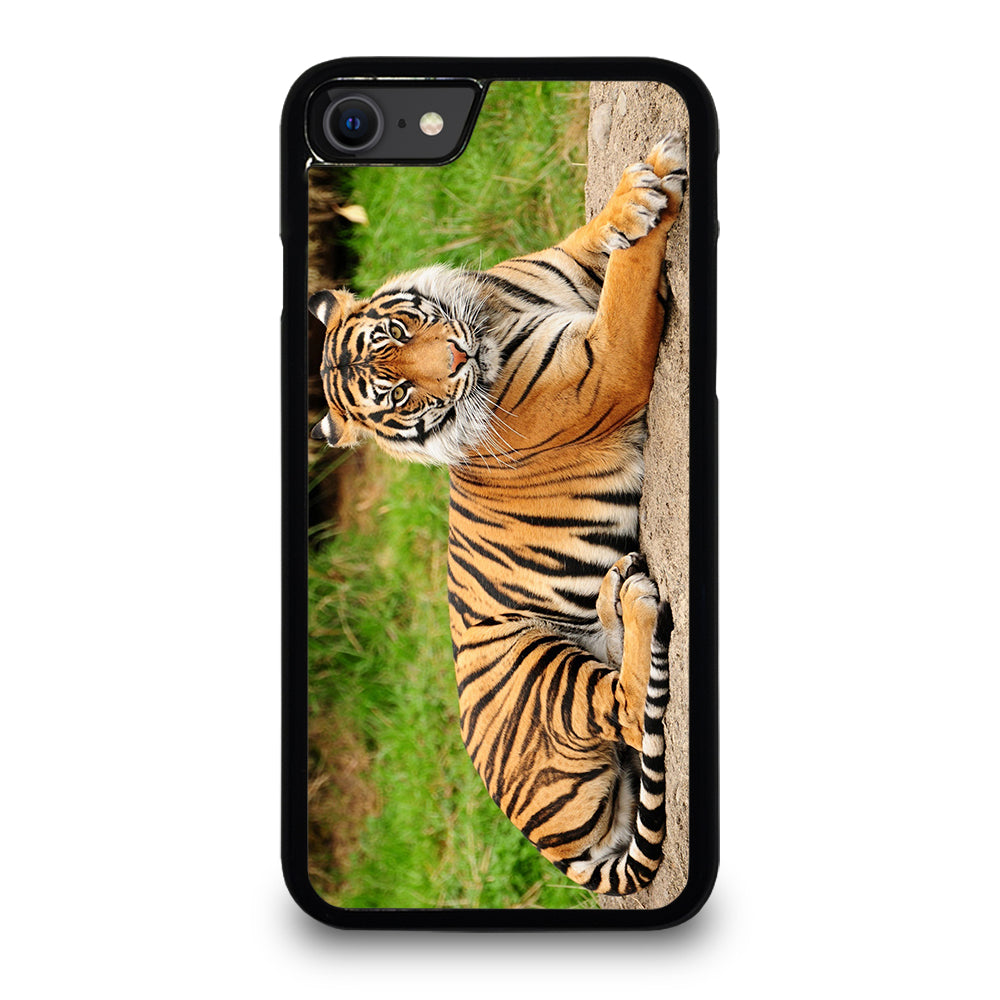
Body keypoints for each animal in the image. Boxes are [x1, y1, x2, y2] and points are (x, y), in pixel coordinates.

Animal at [309, 134, 686, 895]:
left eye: (398, 329)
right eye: (395, 392)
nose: (457, 358)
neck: (492, 314)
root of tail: (556, 850)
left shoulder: (563, 270)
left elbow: (598, 239)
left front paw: (637, 193)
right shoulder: (606, 364)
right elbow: (629, 280)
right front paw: (652, 195)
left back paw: (615, 592)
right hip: (537, 667)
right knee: (631, 710)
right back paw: (634, 602)